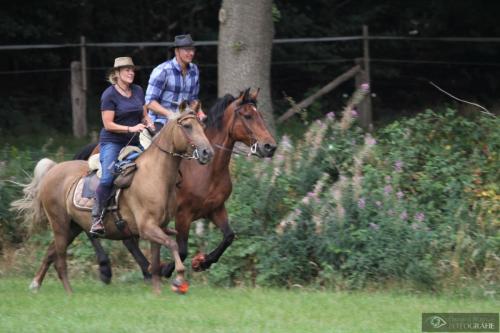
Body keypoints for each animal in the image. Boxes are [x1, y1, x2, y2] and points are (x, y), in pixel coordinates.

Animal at [10, 109, 212, 294]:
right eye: (187, 126)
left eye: (202, 127)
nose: (207, 152)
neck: (156, 176)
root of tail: (53, 171)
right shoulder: (147, 228)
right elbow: (172, 244)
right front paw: (179, 279)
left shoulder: (158, 227)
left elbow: (156, 260)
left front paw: (157, 291)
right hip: (60, 223)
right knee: (61, 259)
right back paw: (70, 292)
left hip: (72, 227)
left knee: (51, 252)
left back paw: (36, 284)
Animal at [78, 87, 278, 280]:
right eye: (247, 115)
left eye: (260, 115)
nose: (270, 146)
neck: (206, 171)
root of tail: (95, 147)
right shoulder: (183, 215)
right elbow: (182, 250)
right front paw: (167, 269)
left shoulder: (215, 209)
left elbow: (229, 236)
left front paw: (201, 262)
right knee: (92, 226)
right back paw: (108, 268)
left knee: (126, 237)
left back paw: (145, 270)